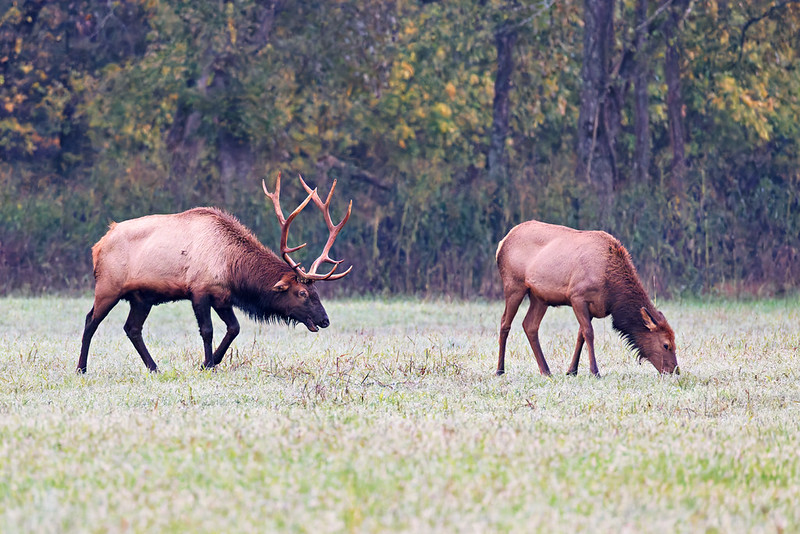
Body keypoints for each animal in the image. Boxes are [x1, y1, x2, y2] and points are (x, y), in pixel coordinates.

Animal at [77, 173, 352, 374]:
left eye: (316, 291)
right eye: (303, 292)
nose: (324, 320)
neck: (233, 268)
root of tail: (97, 246)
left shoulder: (223, 296)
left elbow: (234, 328)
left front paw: (211, 362)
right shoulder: (199, 290)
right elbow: (207, 330)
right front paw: (207, 364)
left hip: (141, 298)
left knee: (132, 328)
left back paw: (154, 367)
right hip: (108, 287)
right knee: (91, 321)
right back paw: (81, 368)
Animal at [495, 220, 678, 377]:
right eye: (666, 345)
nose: (675, 370)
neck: (612, 291)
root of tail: (502, 243)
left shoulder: (592, 306)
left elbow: (580, 335)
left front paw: (572, 370)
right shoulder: (577, 296)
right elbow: (589, 333)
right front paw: (595, 371)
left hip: (539, 297)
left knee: (530, 325)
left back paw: (546, 370)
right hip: (514, 285)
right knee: (505, 323)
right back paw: (500, 370)